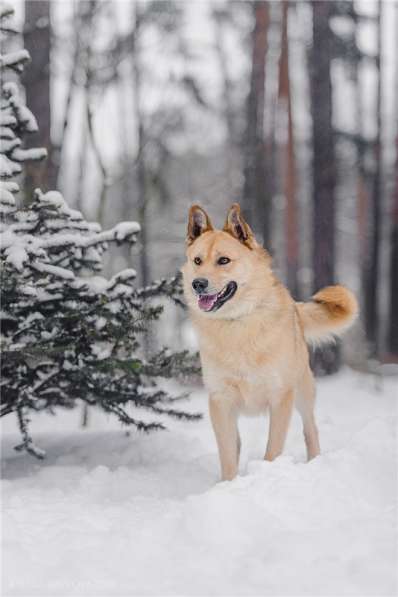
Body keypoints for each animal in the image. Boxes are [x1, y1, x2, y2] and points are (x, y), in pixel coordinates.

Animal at [182, 204, 360, 480]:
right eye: (197, 261)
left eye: (224, 260)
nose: (197, 284)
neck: (237, 323)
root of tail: (296, 309)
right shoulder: (221, 401)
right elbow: (228, 456)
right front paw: (228, 485)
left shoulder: (280, 397)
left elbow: (272, 450)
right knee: (236, 444)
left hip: (303, 392)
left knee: (311, 429)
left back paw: (314, 461)